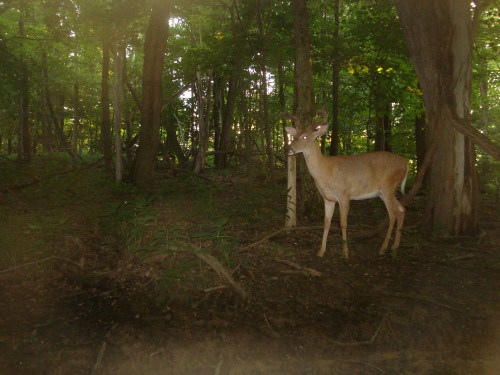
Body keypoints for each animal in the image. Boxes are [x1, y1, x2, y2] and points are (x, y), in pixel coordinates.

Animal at [284, 110, 408, 260]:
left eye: (305, 136)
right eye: (294, 135)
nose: (288, 148)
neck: (325, 171)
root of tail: (406, 163)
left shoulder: (344, 195)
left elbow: (343, 223)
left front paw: (345, 252)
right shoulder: (328, 199)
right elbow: (326, 223)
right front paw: (321, 251)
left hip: (388, 187)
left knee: (393, 214)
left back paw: (383, 248)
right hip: (384, 192)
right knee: (402, 210)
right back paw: (395, 247)